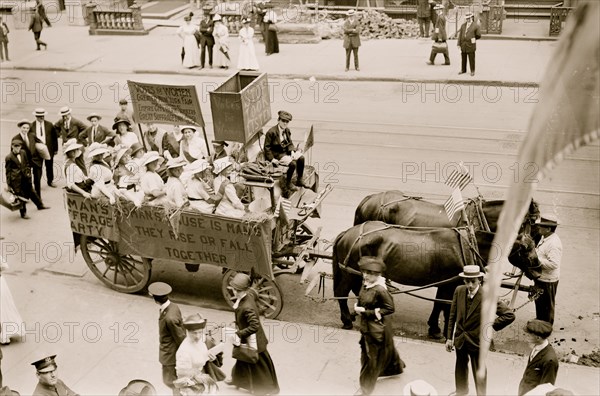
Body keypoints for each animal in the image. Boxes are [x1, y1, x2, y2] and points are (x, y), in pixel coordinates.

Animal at [330, 223, 540, 334]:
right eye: (527, 249)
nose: (539, 268)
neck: (468, 245)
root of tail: (347, 233)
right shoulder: (451, 282)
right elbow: (446, 305)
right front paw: (443, 330)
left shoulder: (445, 282)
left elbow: (439, 303)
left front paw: (434, 327)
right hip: (349, 272)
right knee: (341, 291)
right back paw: (347, 319)